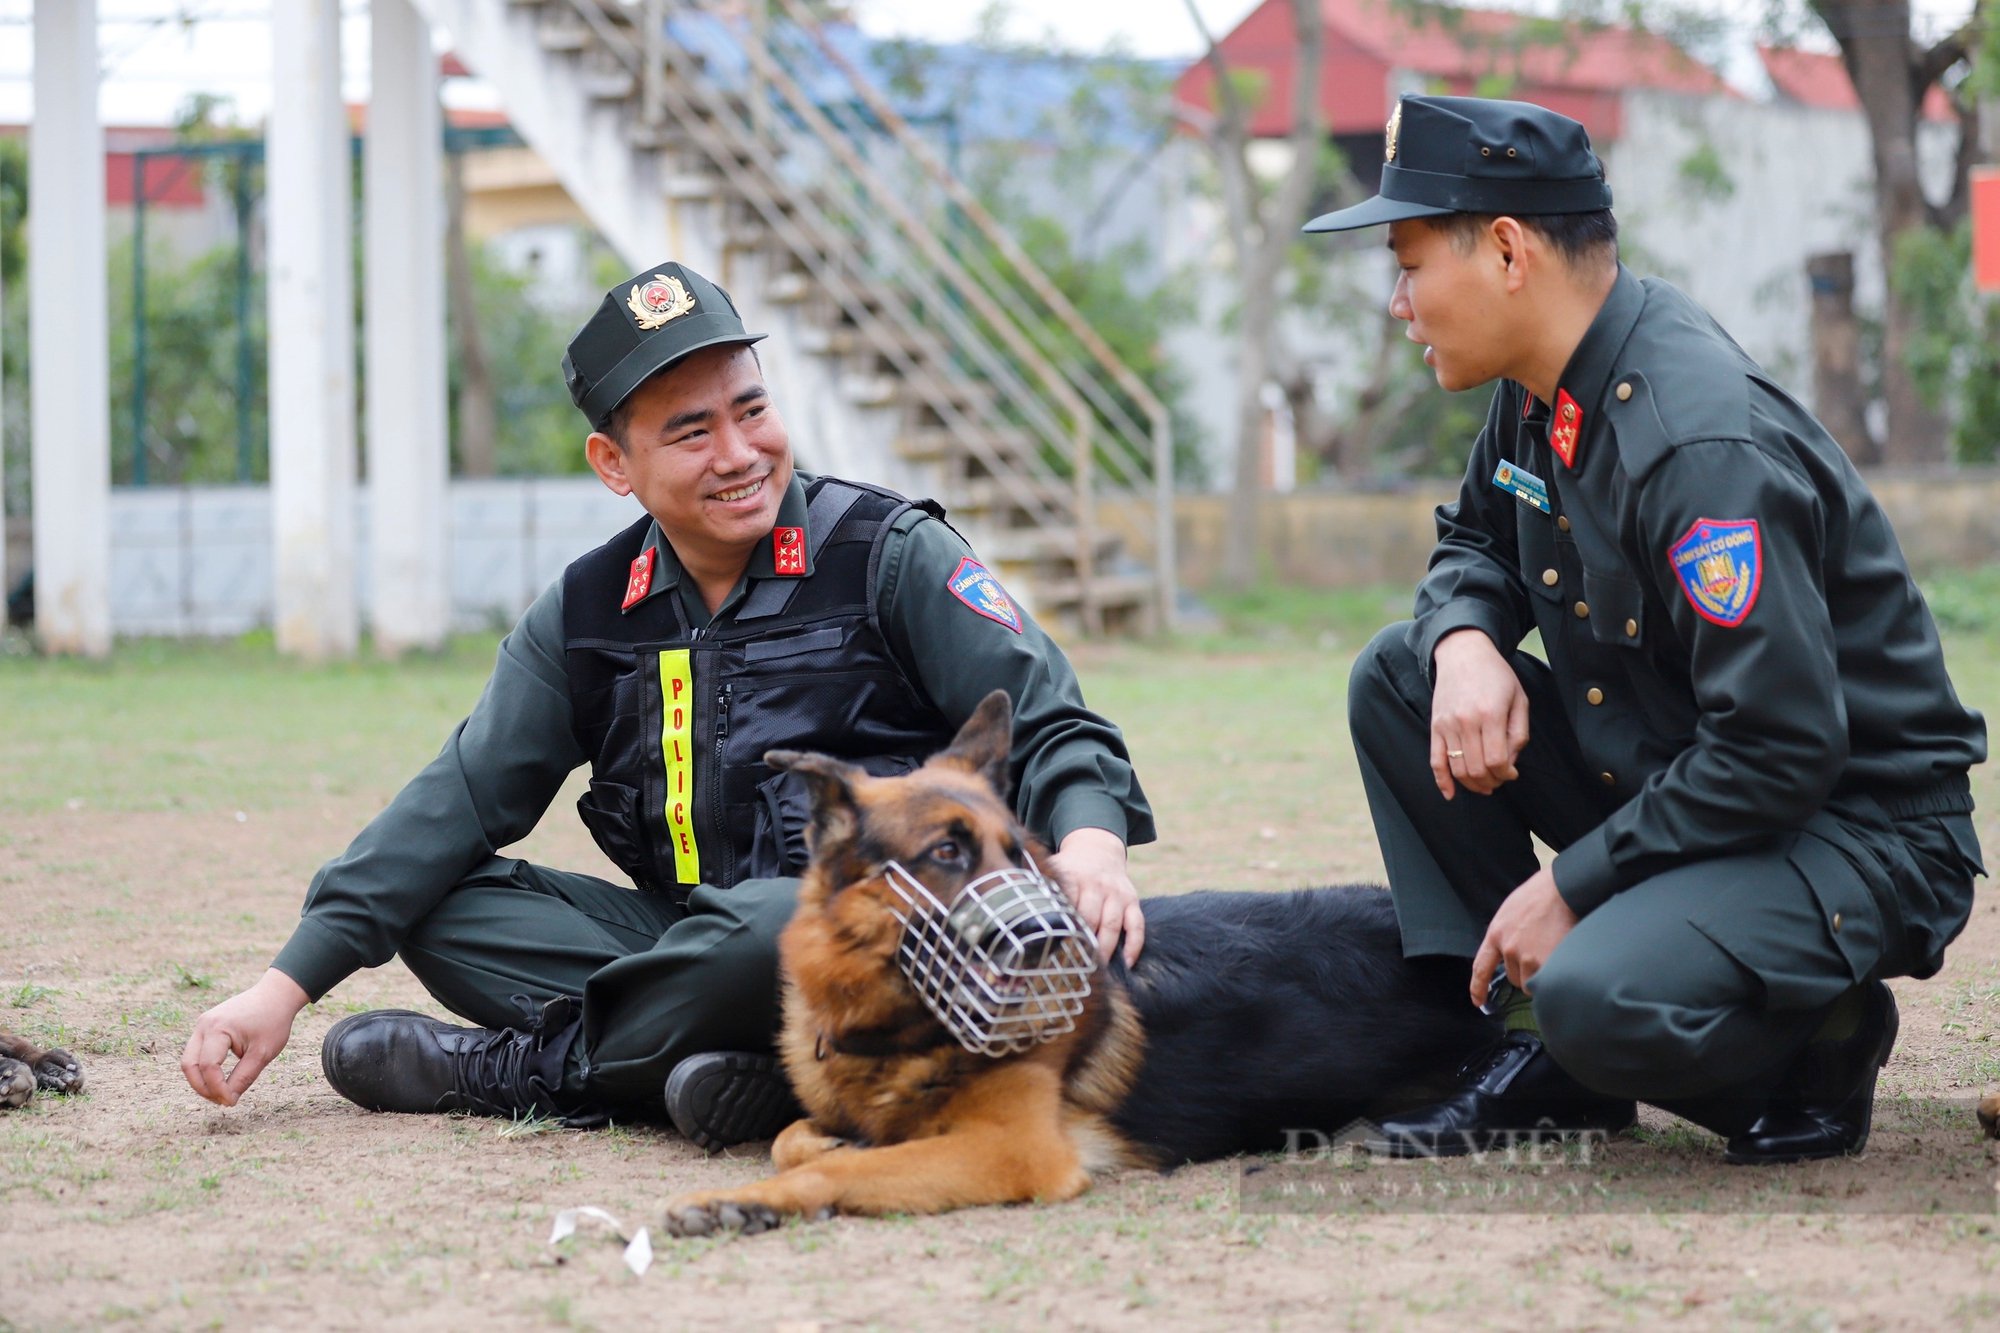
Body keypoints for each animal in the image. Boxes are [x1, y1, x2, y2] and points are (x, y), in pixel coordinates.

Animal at [664, 688, 1496, 1232]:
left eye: (1018, 852)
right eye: (946, 853)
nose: (1043, 934)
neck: (899, 1028)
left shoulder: (1013, 1150)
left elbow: (838, 1166)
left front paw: (747, 1198)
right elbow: (793, 1137)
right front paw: (824, 1142)